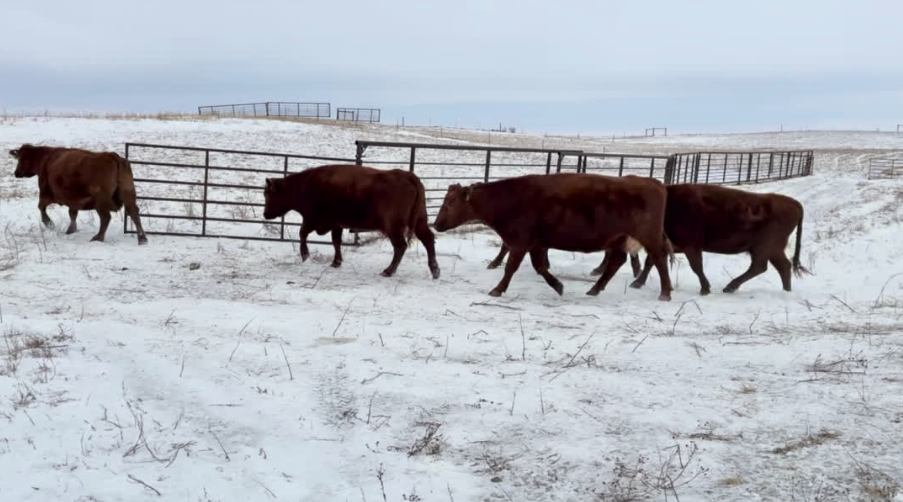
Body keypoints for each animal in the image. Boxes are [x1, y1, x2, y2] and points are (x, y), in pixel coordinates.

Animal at [9, 144, 148, 245]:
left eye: (21, 159)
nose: (16, 173)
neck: (46, 159)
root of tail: (112, 156)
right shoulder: (73, 200)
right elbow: (72, 214)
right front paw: (71, 230)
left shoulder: (46, 193)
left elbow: (41, 207)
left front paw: (49, 223)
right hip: (128, 193)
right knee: (134, 212)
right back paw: (142, 238)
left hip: (101, 201)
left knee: (105, 217)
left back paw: (98, 237)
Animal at [261, 164, 440, 280]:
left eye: (268, 195)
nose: (265, 214)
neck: (303, 185)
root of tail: (406, 175)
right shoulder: (336, 224)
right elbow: (336, 242)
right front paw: (336, 262)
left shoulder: (313, 220)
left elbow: (302, 233)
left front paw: (305, 255)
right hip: (420, 221)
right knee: (428, 239)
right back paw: (435, 271)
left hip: (393, 226)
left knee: (400, 246)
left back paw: (388, 271)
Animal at [432, 173, 674, 301]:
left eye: (450, 202)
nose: (436, 224)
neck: (511, 198)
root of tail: (653, 182)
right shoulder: (536, 244)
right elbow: (541, 268)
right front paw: (558, 285)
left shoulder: (520, 243)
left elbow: (510, 268)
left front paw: (497, 289)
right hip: (620, 239)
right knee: (616, 262)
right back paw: (595, 288)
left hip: (648, 237)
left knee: (659, 259)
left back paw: (665, 292)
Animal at [615, 183, 809, 295]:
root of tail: (795, 204)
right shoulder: (670, 245)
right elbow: (651, 262)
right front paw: (637, 283)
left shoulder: (691, 246)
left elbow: (696, 266)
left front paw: (705, 288)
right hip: (772, 250)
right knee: (782, 266)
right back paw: (786, 290)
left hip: (766, 248)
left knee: (761, 266)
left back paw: (731, 287)